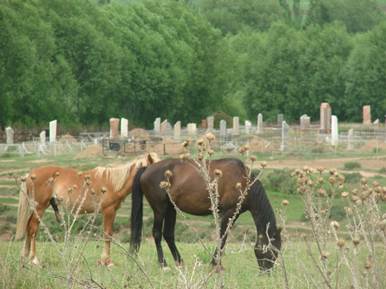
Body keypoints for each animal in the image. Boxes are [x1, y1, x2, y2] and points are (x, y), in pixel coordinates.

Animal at [15, 152, 159, 266]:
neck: (113, 182)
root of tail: (30, 175)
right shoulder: (109, 211)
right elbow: (108, 234)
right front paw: (106, 261)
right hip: (40, 207)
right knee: (33, 228)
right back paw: (34, 259)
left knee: (29, 227)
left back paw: (24, 256)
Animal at [131, 158, 282, 270]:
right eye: (273, 250)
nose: (266, 272)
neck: (243, 181)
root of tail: (147, 168)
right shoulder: (229, 212)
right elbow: (222, 236)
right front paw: (216, 265)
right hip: (160, 209)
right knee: (156, 233)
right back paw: (163, 265)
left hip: (171, 209)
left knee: (168, 234)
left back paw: (180, 263)